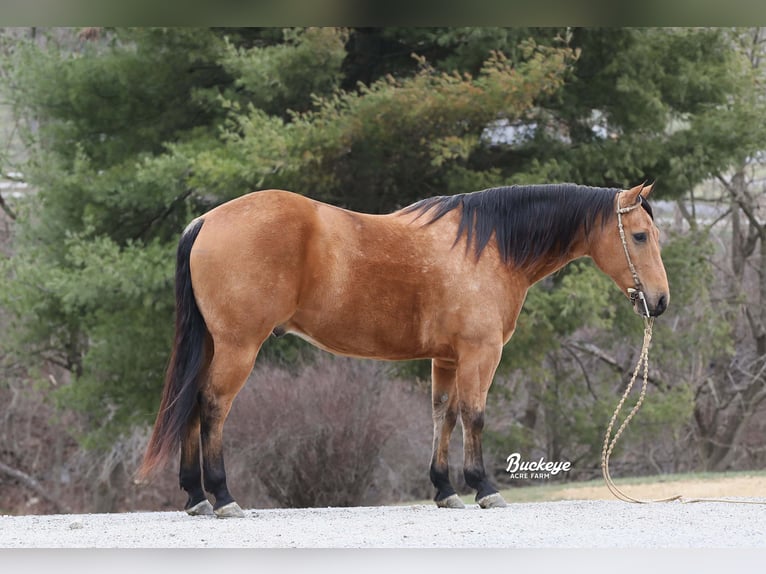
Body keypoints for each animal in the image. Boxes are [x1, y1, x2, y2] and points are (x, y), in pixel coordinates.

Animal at [140, 181, 672, 516]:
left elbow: (444, 415)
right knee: (212, 407)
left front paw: (445, 490)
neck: (490, 247)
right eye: (640, 236)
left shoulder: (447, 358)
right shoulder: (480, 354)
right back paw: (223, 496)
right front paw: (484, 487)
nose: (660, 301)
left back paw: (196, 497)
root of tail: (207, 220)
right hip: (238, 348)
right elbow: (475, 415)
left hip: (214, 346)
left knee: (191, 406)